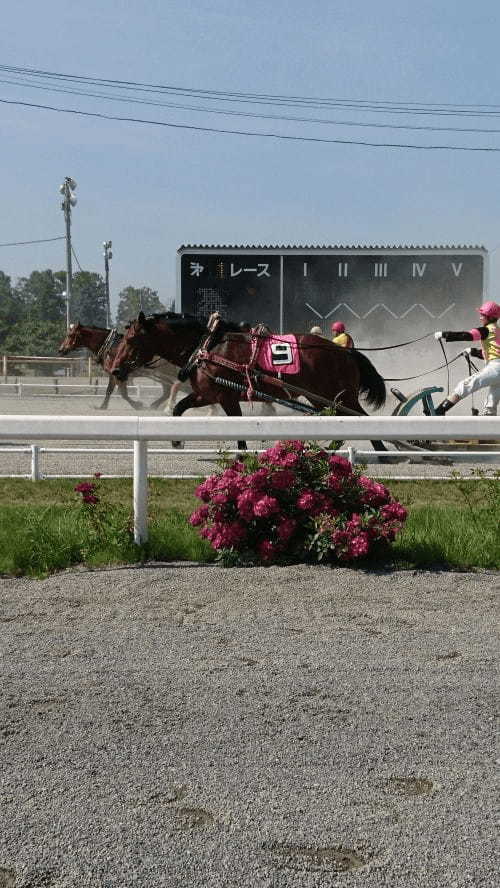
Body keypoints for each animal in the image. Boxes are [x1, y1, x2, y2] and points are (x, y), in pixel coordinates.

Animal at [108, 312, 386, 450]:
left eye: (130, 339)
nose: (115, 369)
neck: (209, 346)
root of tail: (345, 352)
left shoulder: (226, 397)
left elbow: (238, 430)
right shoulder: (207, 394)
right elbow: (179, 407)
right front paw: (176, 439)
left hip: (338, 397)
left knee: (364, 421)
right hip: (323, 400)